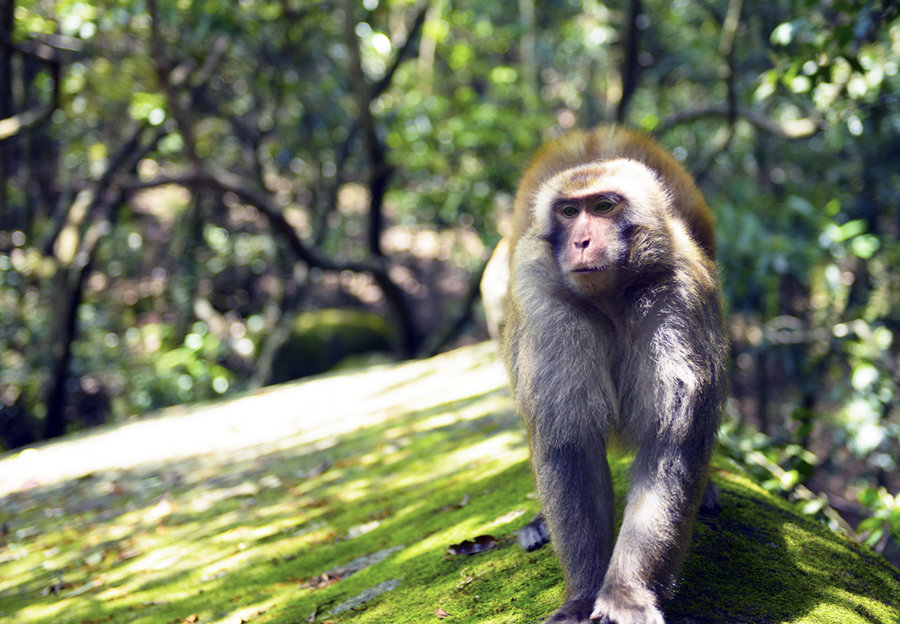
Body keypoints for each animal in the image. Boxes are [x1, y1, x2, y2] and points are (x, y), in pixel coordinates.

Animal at [492, 124, 732, 620]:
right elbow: (570, 448)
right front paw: (583, 595)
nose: (582, 241)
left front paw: (626, 591)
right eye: (569, 211)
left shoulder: (678, 293)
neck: (611, 299)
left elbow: (670, 443)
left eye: (603, 206)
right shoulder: (545, 306)